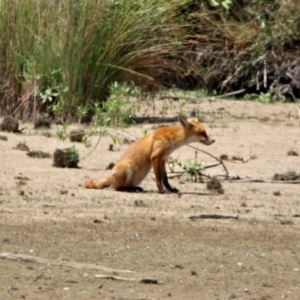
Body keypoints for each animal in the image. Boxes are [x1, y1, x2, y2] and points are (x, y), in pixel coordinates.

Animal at [84, 111, 214, 193]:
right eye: (202, 133)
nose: (213, 140)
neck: (171, 138)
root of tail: (110, 177)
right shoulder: (155, 157)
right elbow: (158, 178)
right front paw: (161, 190)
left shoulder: (163, 159)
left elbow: (165, 178)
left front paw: (170, 189)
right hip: (127, 168)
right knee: (115, 188)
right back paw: (128, 189)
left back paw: (135, 188)